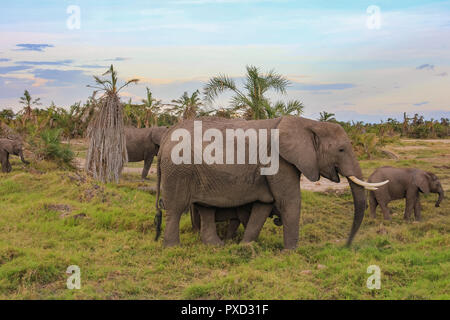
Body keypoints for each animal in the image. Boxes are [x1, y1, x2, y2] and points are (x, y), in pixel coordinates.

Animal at [155, 116, 386, 249]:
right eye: (341, 149)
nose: (345, 246)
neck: (310, 123)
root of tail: (165, 136)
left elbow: (263, 206)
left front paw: (246, 245)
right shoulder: (278, 160)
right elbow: (289, 201)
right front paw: (291, 253)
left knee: (205, 208)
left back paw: (216, 246)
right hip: (178, 170)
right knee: (175, 209)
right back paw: (173, 248)